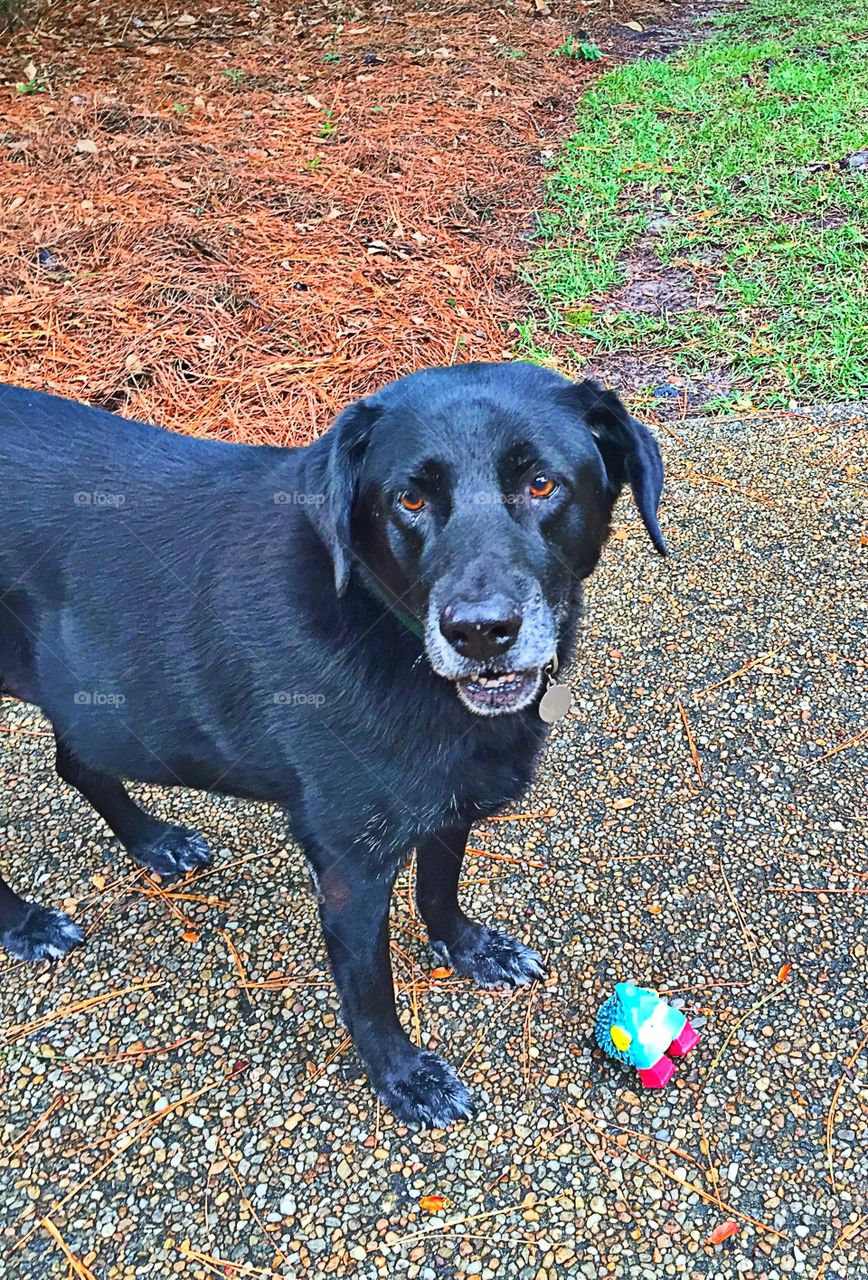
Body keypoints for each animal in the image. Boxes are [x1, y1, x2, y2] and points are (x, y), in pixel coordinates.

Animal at [0, 360, 665, 1121]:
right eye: (409, 498)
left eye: (542, 484)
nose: (480, 632)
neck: (386, 627)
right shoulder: (350, 868)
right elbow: (370, 991)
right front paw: (403, 1075)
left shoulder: (448, 803)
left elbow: (439, 887)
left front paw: (467, 948)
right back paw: (24, 923)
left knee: (78, 761)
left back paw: (153, 841)